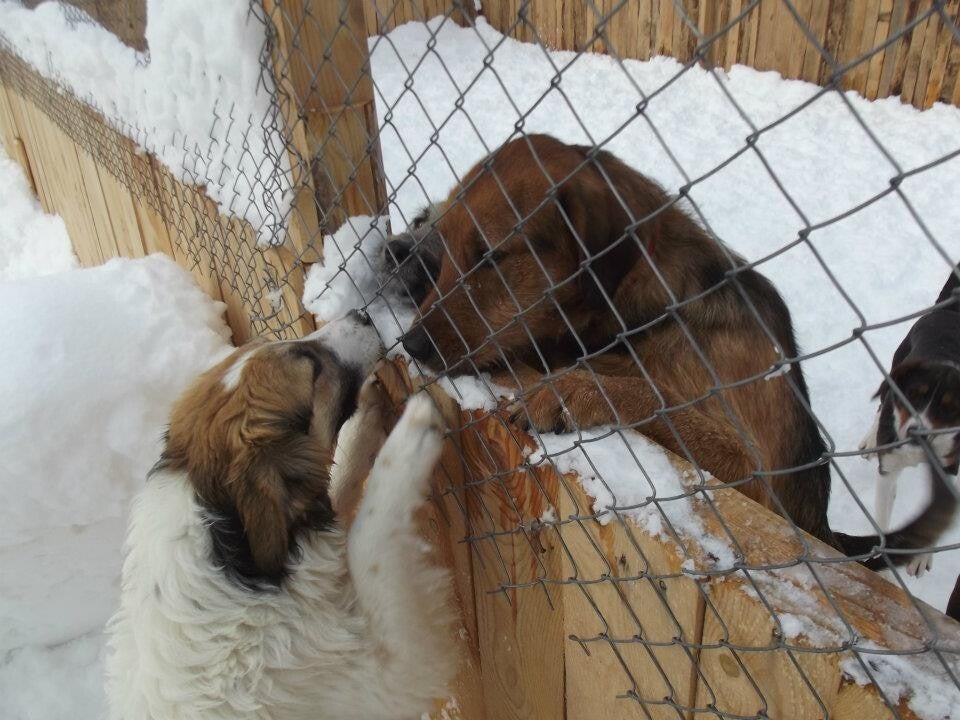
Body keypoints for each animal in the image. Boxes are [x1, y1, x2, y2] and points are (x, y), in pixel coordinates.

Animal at [105, 311, 456, 720]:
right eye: (313, 368)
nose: (361, 314)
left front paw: (363, 424)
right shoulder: (388, 672)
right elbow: (370, 536)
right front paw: (412, 428)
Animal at [389, 133, 951, 567]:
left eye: (490, 256)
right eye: (445, 240)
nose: (410, 345)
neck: (651, 310)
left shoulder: (756, 475)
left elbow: (654, 396)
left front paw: (571, 392)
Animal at [859, 265, 960, 576]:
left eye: (949, 409)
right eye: (913, 395)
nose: (917, 432)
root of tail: (949, 310)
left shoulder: (951, 467)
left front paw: (921, 555)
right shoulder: (888, 471)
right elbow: (882, 519)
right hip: (895, 366)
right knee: (881, 403)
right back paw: (871, 438)